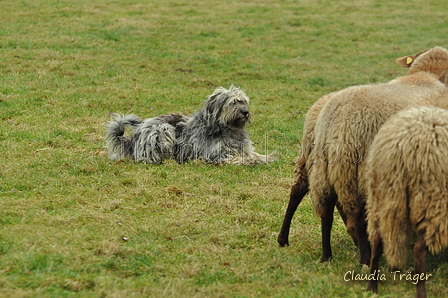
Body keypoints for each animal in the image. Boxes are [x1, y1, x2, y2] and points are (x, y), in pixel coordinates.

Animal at [105, 85, 274, 165]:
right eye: (233, 102)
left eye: (243, 101)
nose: (245, 112)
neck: (227, 129)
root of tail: (133, 138)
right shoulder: (217, 155)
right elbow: (238, 158)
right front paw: (252, 161)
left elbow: (253, 154)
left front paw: (266, 157)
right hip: (163, 129)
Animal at [276, 45, 448, 264]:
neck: (424, 75)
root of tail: (334, 121)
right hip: (357, 169)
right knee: (354, 215)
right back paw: (365, 258)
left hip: (319, 161)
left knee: (309, 196)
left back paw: (313, 250)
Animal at [366, 105, 448, 298]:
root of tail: (400, 146)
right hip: (431, 201)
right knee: (418, 250)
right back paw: (421, 292)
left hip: (380, 196)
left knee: (377, 240)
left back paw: (372, 287)